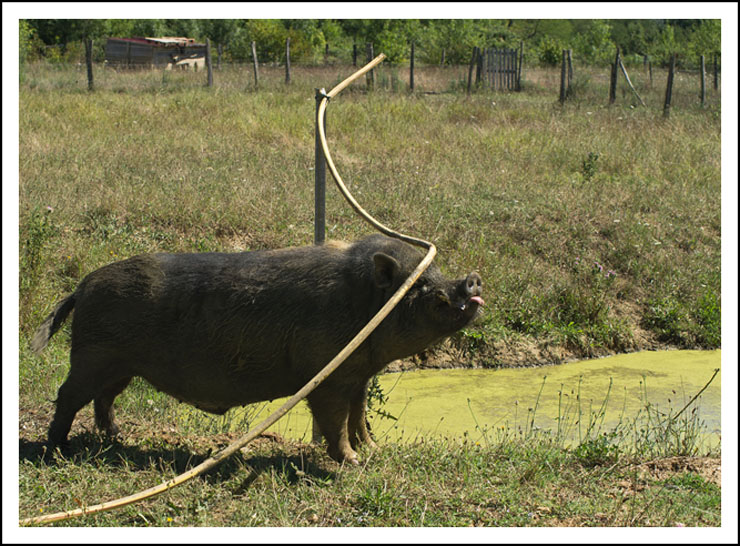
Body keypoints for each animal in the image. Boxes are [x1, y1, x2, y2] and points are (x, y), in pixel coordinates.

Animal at [31, 232, 486, 462]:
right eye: (422, 286)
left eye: (438, 272)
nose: (471, 280)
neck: (363, 307)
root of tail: (81, 287)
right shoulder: (326, 375)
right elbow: (336, 420)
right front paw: (352, 463)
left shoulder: (358, 375)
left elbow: (359, 415)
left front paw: (374, 450)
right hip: (92, 357)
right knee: (68, 395)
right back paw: (57, 449)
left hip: (120, 365)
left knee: (104, 398)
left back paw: (114, 438)